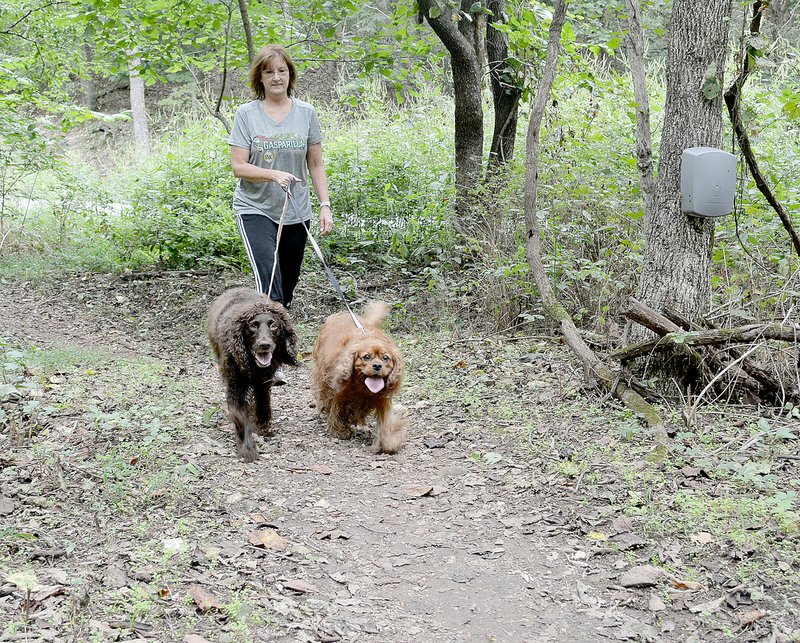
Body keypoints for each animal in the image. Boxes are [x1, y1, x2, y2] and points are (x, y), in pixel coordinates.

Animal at [206, 288, 296, 462]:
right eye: (253, 325)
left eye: (273, 325)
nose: (264, 345)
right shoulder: (235, 388)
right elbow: (241, 418)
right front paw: (247, 449)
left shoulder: (263, 383)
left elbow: (263, 404)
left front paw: (263, 427)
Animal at [310, 300, 406, 452]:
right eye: (366, 357)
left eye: (385, 358)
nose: (377, 366)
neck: (362, 385)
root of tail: (339, 314)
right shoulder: (337, 393)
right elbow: (336, 410)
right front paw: (340, 431)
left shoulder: (382, 400)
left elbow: (385, 424)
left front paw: (389, 442)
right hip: (321, 373)